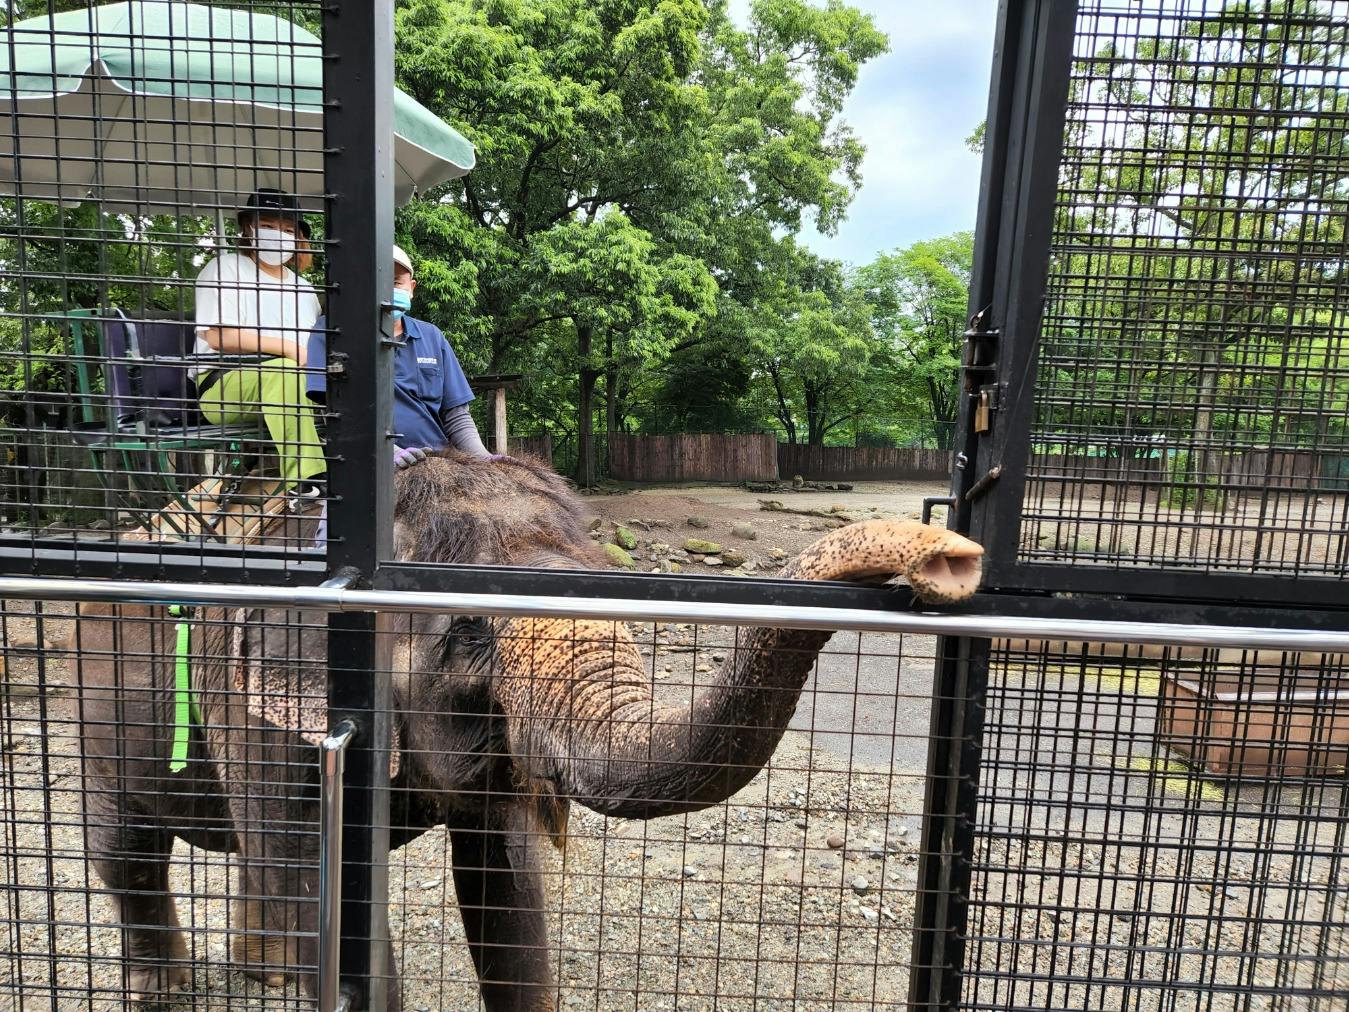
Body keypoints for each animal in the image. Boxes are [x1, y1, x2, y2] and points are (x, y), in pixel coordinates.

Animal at [76, 453, 982, 1012]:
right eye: (468, 630)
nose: (954, 560)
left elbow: (505, 885)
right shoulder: (258, 706)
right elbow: (320, 888)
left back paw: (258, 978)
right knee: (126, 848)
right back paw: (164, 991)